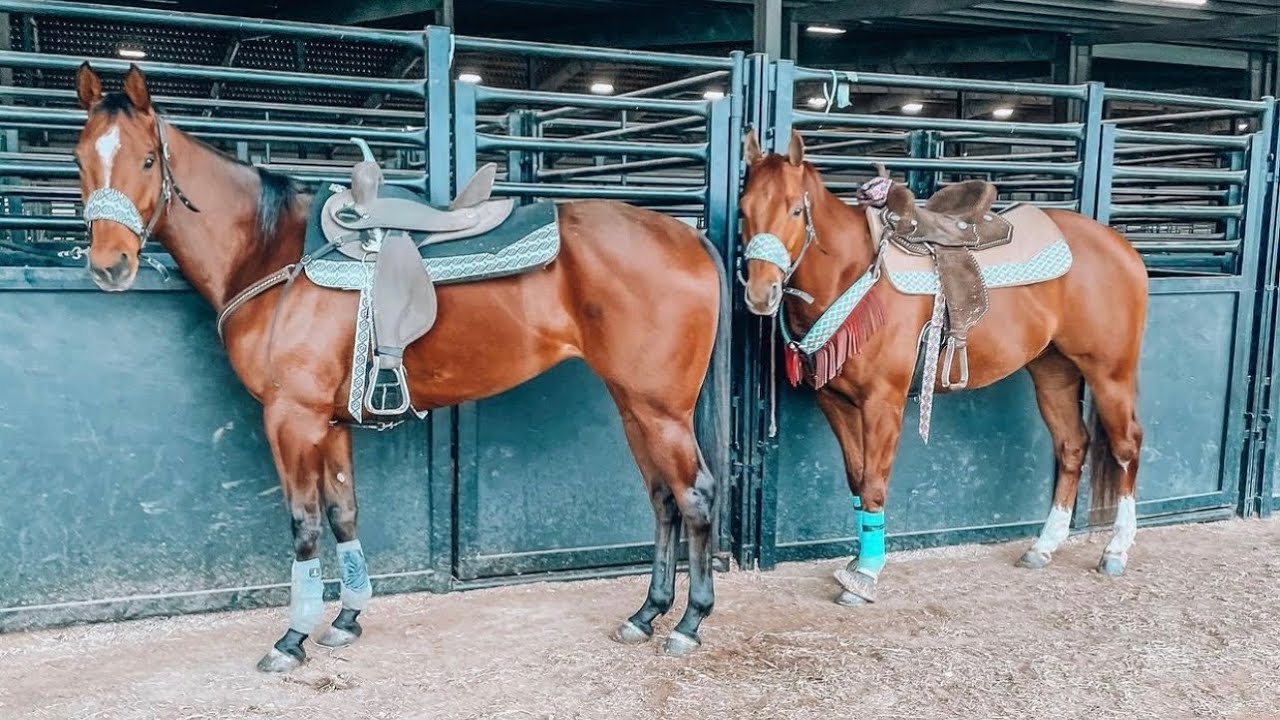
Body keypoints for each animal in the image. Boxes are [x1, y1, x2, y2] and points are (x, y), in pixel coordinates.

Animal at [72, 62, 727, 671]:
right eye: (79, 159)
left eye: (148, 161)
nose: (110, 265)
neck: (274, 254)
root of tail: (690, 237)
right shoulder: (330, 423)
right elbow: (344, 513)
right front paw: (347, 618)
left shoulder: (292, 418)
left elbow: (305, 524)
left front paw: (292, 638)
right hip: (632, 403)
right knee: (662, 498)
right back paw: (645, 613)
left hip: (661, 410)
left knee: (694, 496)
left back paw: (689, 623)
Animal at [738, 129, 1147, 606]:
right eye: (744, 209)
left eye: (796, 209)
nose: (761, 294)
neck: (856, 272)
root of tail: (1121, 247)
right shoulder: (835, 401)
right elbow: (857, 479)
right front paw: (857, 563)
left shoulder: (883, 403)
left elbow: (875, 483)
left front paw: (867, 574)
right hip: (1053, 373)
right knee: (1071, 446)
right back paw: (1043, 546)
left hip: (1110, 373)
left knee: (1127, 447)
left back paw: (1116, 549)